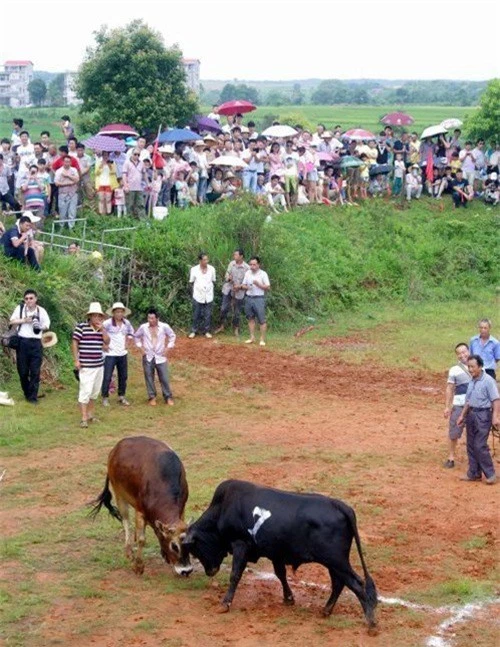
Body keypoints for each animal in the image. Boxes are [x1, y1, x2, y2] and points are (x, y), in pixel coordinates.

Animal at [91, 438, 192, 576]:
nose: (186, 570)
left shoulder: (182, 508)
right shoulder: (140, 511)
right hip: (119, 495)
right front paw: (138, 566)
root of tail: (117, 447)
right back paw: (128, 549)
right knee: (126, 521)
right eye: (174, 546)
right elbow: (141, 539)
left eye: (190, 545)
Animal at [182, 478, 376, 632]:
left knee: (356, 583)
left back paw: (371, 623)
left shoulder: (240, 545)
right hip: (333, 563)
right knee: (339, 583)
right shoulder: (276, 553)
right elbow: (280, 574)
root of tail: (340, 505)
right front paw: (289, 598)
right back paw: (326, 610)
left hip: (337, 561)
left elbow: (235, 574)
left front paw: (225, 603)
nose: (210, 571)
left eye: (195, 549)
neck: (223, 508)